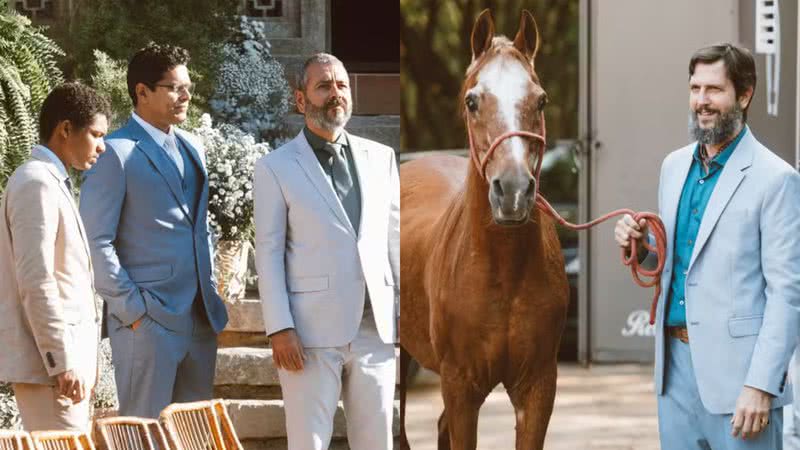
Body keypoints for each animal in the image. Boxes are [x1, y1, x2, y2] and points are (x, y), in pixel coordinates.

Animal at [400, 9, 568, 450]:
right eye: (472, 100)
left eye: (540, 99)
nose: (513, 191)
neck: (502, 272)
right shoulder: (460, 386)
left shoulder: (538, 387)